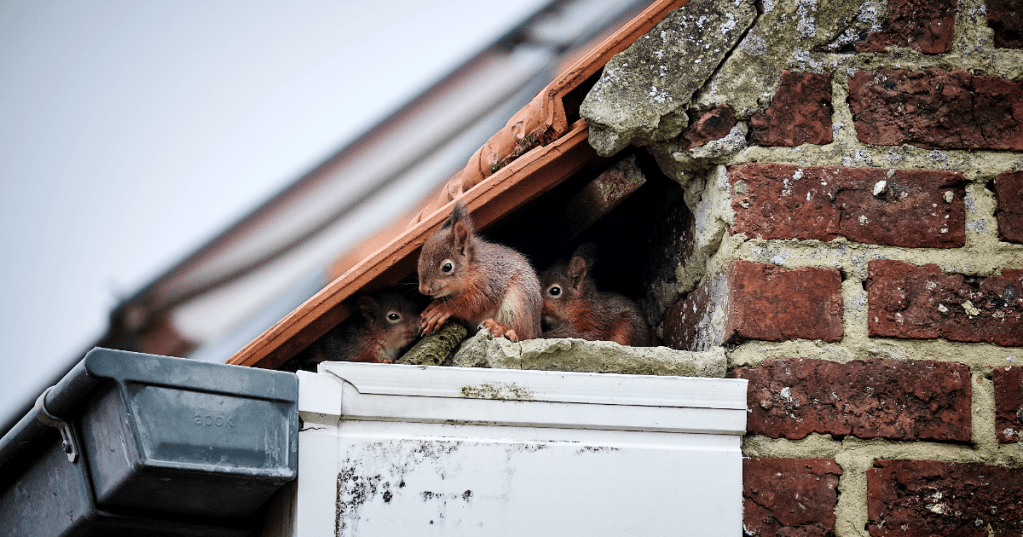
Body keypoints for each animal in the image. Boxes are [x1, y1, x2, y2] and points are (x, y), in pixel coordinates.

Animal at [284, 290, 420, 371]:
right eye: (393, 316)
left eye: (414, 305)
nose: (419, 323)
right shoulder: (349, 348)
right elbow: (360, 360)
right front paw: (385, 361)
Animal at [418, 199, 542, 342]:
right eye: (420, 259)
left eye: (447, 267)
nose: (423, 290)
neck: (471, 268)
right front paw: (431, 307)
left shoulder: (489, 279)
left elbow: (475, 301)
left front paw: (441, 310)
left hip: (517, 303)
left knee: (521, 334)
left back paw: (500, 328)